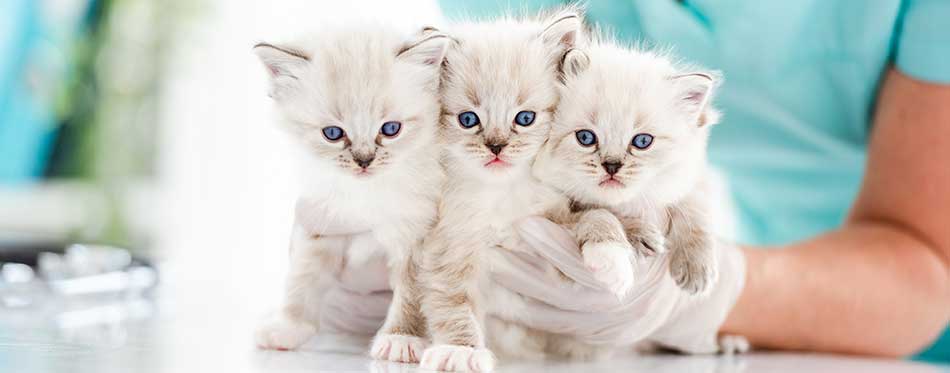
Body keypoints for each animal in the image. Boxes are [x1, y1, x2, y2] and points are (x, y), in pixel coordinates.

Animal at [251, 24, 448, 364]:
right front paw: (288, 328)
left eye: (391, 129)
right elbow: (300, 283)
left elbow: (411, 296)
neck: (366, 196)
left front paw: (401, 338)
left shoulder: (417, 239)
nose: (364, 161)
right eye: (332, 134)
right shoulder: (320, 226)